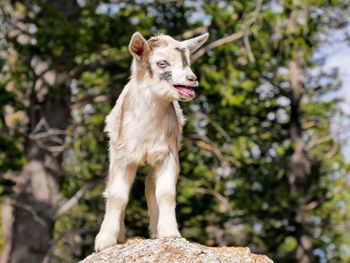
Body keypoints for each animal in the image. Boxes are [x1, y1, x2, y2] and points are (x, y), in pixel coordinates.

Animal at [94, 31, 209, 252]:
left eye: (187, 61)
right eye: (162, 63)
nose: (192, 79)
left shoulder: (168, 155)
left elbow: (165, 193)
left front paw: (170, 233)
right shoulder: (123, 156)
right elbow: (117, 195)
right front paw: (105, 241)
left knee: (149, 186)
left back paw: (156, 231)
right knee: (112, 189)